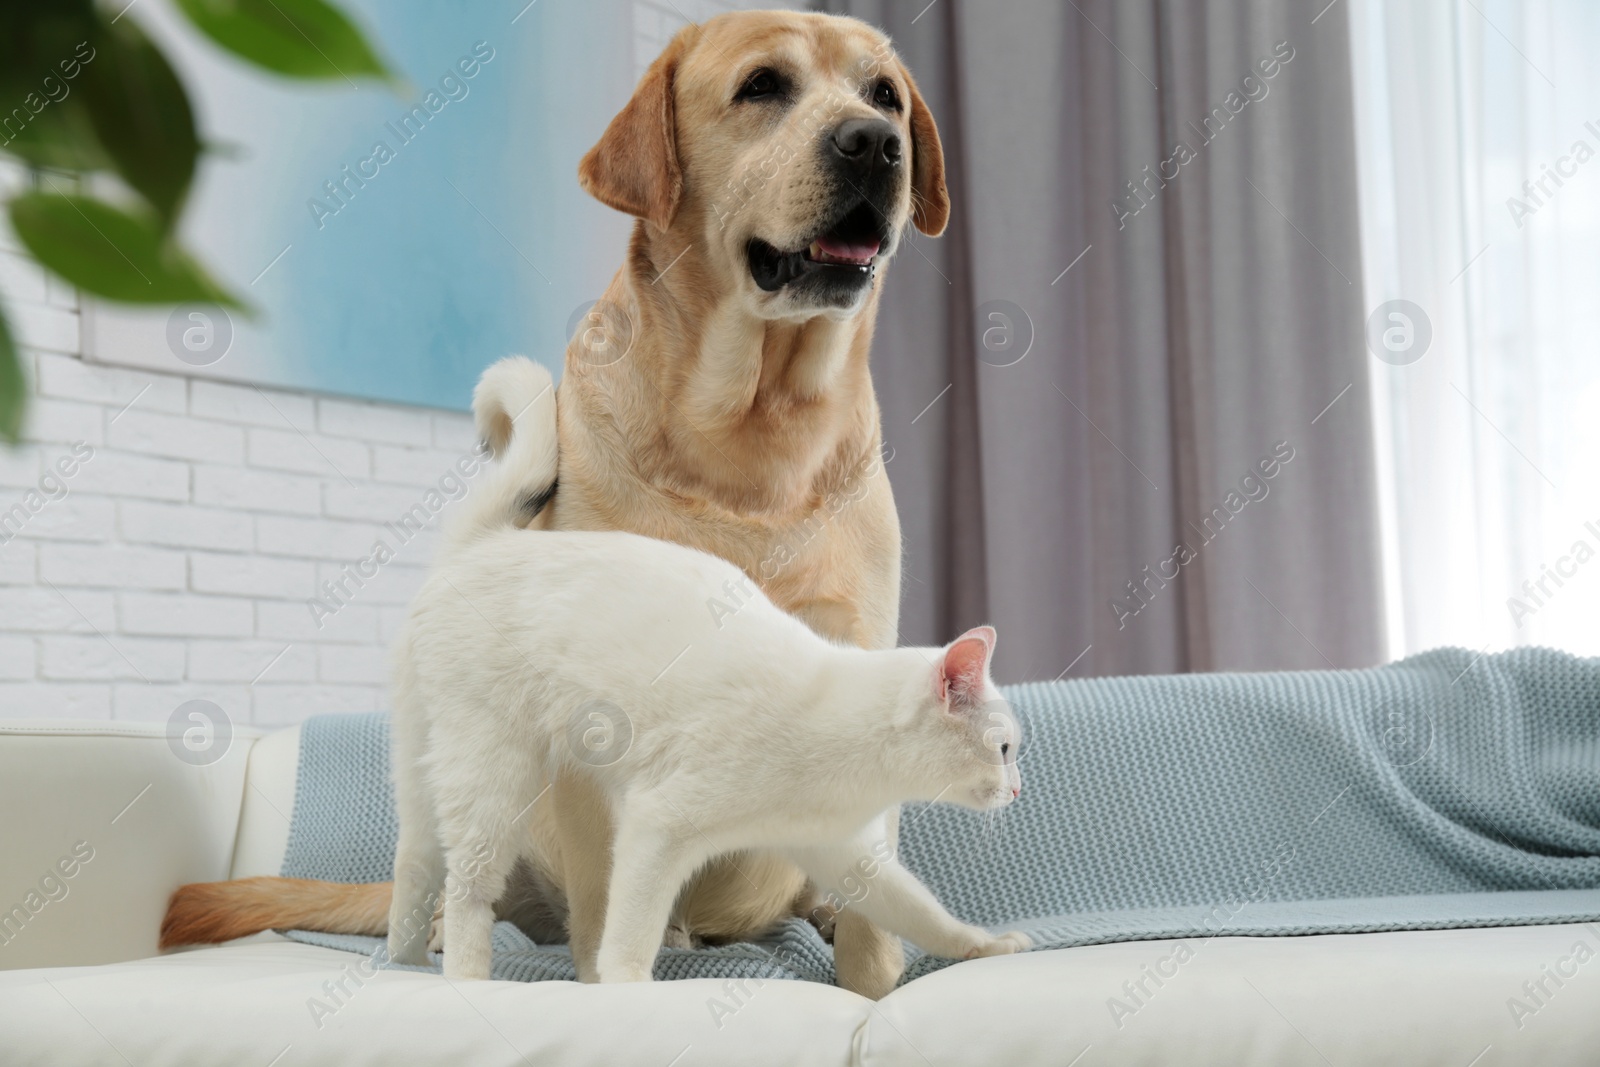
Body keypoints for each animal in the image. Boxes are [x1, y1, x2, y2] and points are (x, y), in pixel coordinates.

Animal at [165, 8, 947, 1004]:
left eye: (885, 94)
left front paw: (877, 984)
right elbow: (606, 895)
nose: (876, 142)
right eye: (763, 86)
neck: (751, 441)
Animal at [385, 361, 1024, 985]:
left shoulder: (844, 856)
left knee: (414, 863)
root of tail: (486, 543)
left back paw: (403, 963)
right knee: (467, 889)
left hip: (426, 766)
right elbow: (628, 936)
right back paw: (465, 979)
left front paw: (989, 947)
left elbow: (923, 915)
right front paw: (624, 991)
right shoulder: (656, 826)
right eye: (1006, 748)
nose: (1018, 787)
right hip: (492, 774)